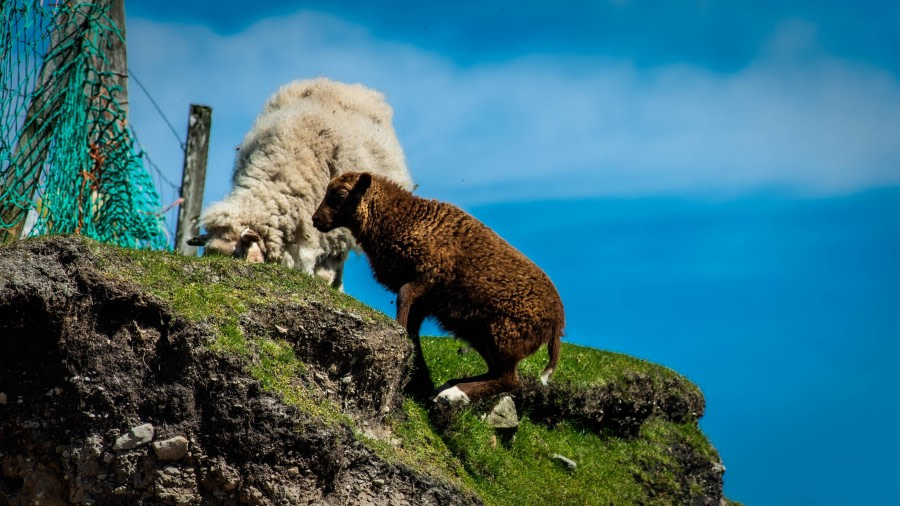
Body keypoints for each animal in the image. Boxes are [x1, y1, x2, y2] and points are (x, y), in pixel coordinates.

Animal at [310, 172, 564, 406]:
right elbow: (413, 328)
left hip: (506, 337)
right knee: (496, 374)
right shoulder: (425, 300)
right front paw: (417, 370)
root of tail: (557, 322)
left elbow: (403, 297)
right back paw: (446, 388)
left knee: (509, 380)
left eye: (340, 195)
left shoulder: (429, 276)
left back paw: (453, 394)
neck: (402, 219)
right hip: (483, 334)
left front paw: (400, 333)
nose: (315, 219)